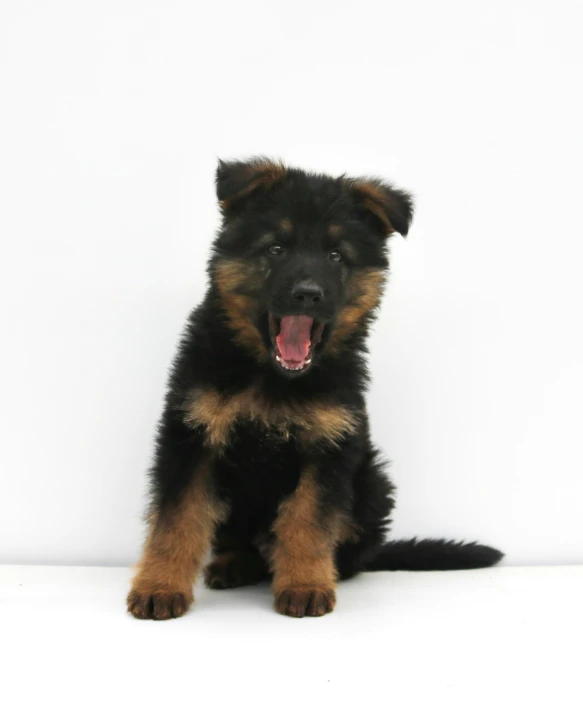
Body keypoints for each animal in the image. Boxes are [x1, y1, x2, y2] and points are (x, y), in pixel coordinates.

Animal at [126, 158, 502, 620]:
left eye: (336, 255)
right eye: (276, 249)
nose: (307, 295)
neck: (273, 379)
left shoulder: (328, 448)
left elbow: (307, 520)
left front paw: (305, 584)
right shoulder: (192, 439)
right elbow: (177, 518)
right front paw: (159, 586)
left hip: (372, 483)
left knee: (343, 554)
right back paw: (234, 564)